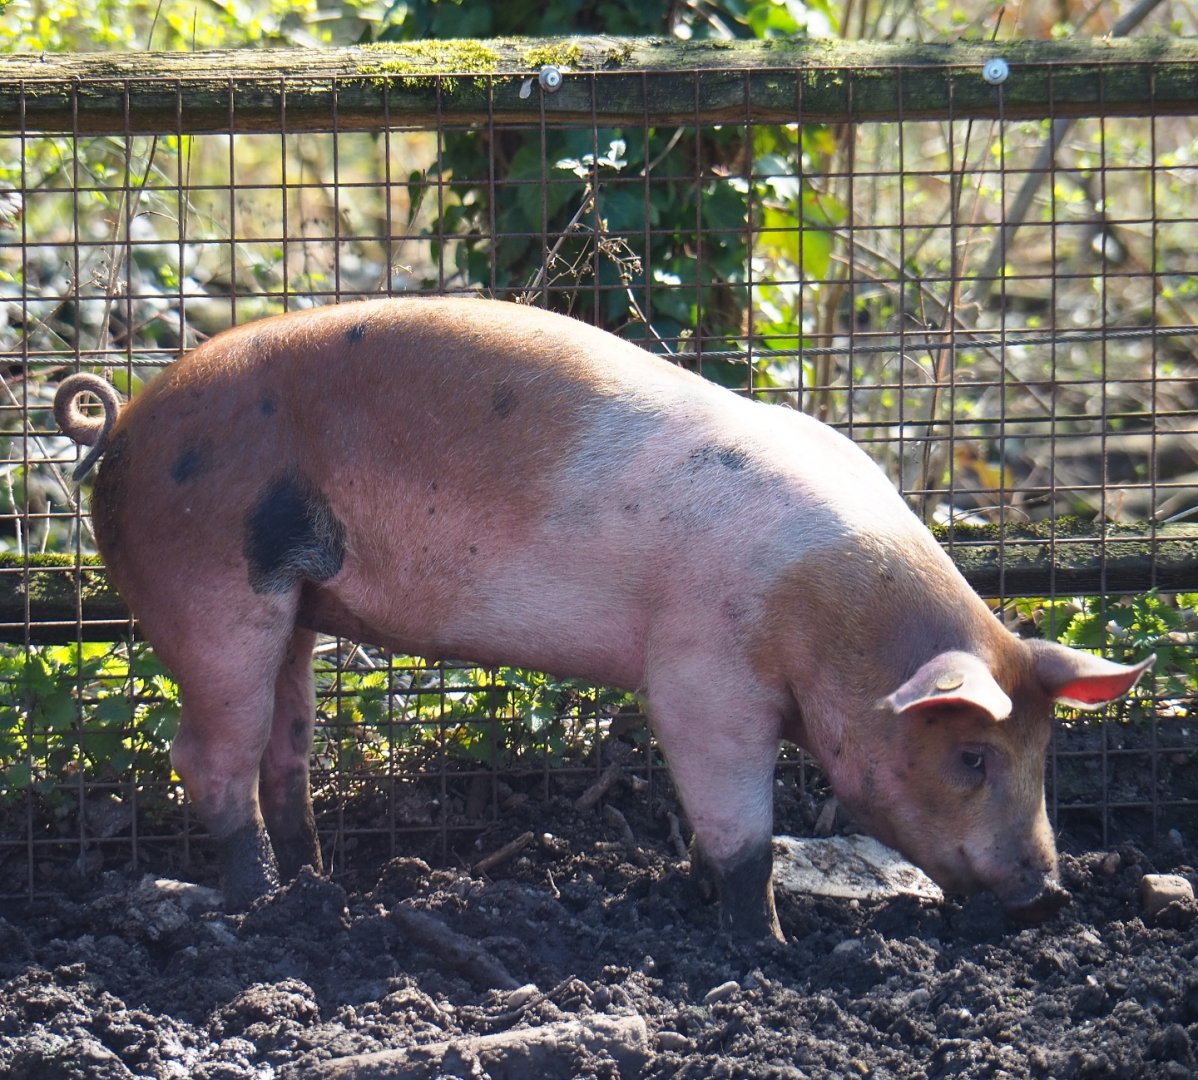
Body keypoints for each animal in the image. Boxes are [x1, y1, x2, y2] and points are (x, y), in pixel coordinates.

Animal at [54, 296, 1153, 939]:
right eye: (970, 755)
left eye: (1044, 751)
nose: (1049, 893)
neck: (830, 613)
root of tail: (125, 427)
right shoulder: (702, 674)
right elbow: (740, 827)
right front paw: (765, 947)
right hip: (211, 588)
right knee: (209, 755)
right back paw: (256, 906)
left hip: (297, 610)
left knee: (285, 749)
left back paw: (317, 887)